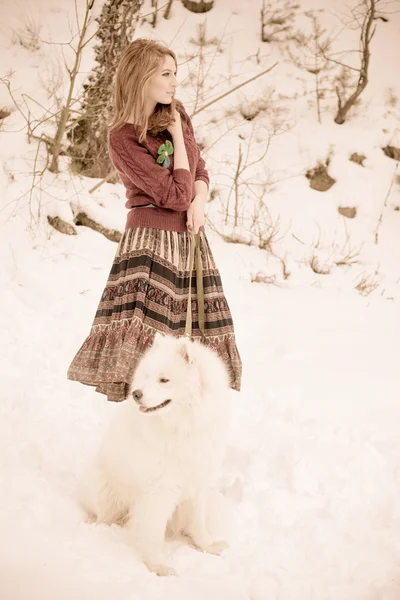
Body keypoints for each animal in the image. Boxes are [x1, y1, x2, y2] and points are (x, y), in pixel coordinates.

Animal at [78, 332, 233, 576]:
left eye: (164, 380)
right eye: (147, 376)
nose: (136, 394)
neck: (183, 427)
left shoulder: (198, 481)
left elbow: (198, 522)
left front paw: (207, 546)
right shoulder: (160, 490)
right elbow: (154, 532)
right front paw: (158, 566)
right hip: (102, 488)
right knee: (105, 516)